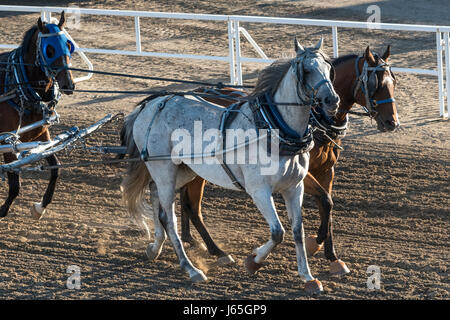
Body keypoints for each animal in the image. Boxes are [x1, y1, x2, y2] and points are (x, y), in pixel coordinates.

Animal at [0, 10, 74, 220]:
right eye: (49, 50)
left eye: (68, 45)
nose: (69, 85)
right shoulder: (8, 140)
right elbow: (14, 183)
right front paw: (3, 210)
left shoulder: (40, 133)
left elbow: (55, 168)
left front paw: (40, 207)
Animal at [121, 38, 340, 294]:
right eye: (306, 70)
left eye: (328, 68)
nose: (332, 100)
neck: (274, 128)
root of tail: (152, 103)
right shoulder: (259, 190)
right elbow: (278, 232)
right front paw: (254, 261)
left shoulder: (295, 187)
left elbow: (297, 231)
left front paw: (307, 276)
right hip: (164, 170)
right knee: (168, 217)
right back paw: (190, 268)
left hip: (182, 171)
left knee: (156, 197)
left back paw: (155, 247)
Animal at [176, 44, 398, 276]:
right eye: (376, 84)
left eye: (393, 81)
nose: (392, 122)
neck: (315, 120)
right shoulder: (305, 175)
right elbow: (325, 201)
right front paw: (315, 243)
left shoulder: (327, 171)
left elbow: (327, 205)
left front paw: (332, 256)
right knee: (192, 206)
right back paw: (216, 251)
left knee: (187, 202)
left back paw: (194, 241)